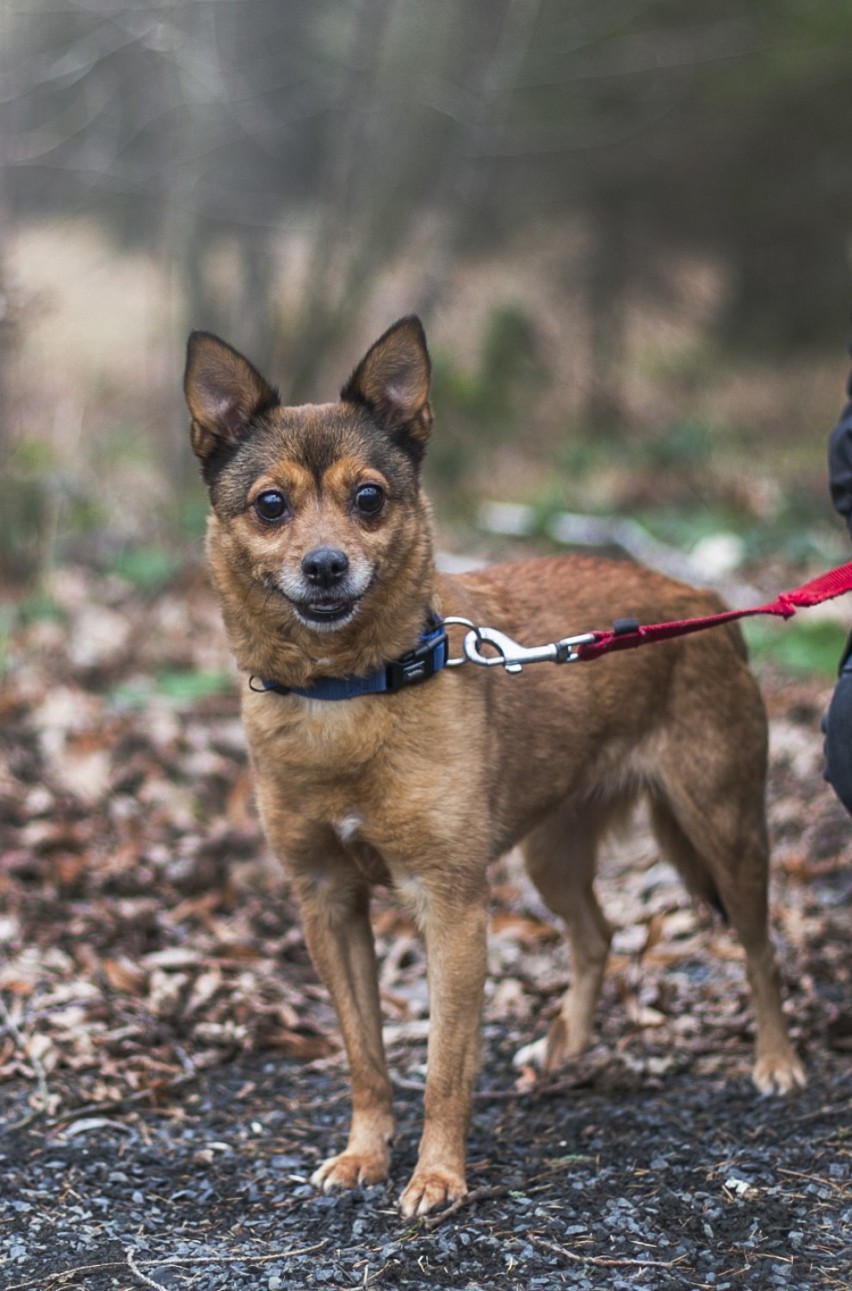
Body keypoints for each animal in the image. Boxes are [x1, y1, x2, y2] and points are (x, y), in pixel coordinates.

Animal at [184, 315, 805, 1218]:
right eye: (271, 504)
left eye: (369, 497)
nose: (326, 566)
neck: (349, 693)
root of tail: (699, 601)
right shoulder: (329, 904)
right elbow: (367, 1056)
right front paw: (365, 1153)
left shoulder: (449, 905)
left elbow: (445, 1065)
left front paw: (438, 1174)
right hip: (553, 850)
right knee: (596, 934)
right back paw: (564, 1047)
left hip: (723, 830)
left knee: (759, 947)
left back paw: (777, 1059)